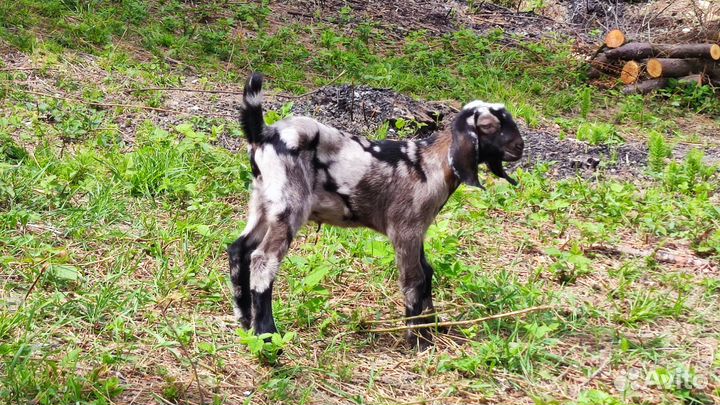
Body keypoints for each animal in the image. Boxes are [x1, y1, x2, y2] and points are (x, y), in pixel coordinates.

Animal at [228, 73, 524, 349]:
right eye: (488, 126)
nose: (519, 146)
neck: (430, 164)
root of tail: (264, 133)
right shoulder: (406, 228)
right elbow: (414, 279)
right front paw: (417, 341)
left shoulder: (419, 229)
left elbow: (427, 271)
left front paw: (432, 328)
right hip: (289, 205)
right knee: (263, 260)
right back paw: (267, 335)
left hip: (263, 202)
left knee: (238, 249)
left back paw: (245, 321)